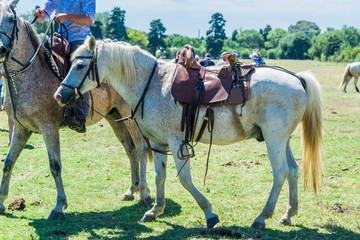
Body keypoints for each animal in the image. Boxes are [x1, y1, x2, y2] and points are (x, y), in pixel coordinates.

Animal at [0, 0, 150, 221]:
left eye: (10, 19)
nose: (1, 49)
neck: (28, 73)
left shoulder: (48, 128)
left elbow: (55, 165)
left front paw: (58, 206)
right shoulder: (21, 129)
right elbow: (9, 162)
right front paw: (2, 202)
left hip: (130, 117)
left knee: (141, 148)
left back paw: (145, 195)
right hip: (115, 118)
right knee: (130, 149)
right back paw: (132, 190)